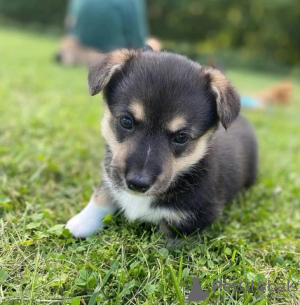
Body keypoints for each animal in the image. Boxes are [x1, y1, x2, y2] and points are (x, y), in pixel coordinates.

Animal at [65, 48, 258, 238]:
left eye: (181, 137)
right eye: (126, 121)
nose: (138, 184)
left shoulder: (192, 221)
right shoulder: (111, 174)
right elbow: (102, 194)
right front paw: (80, 223)